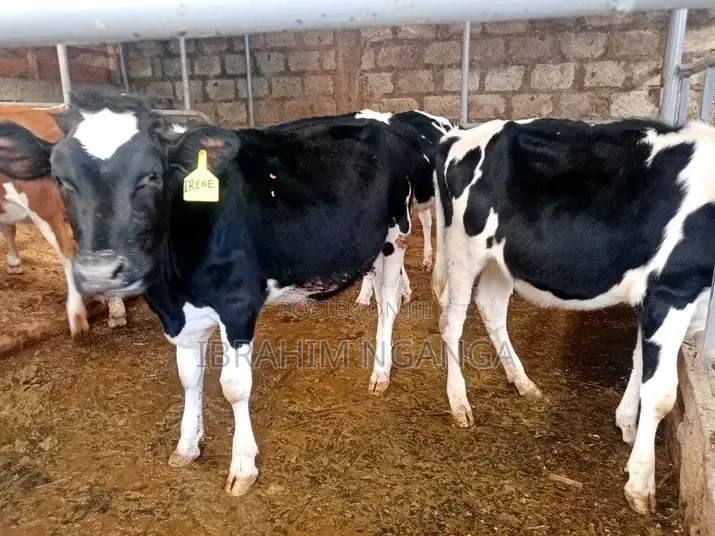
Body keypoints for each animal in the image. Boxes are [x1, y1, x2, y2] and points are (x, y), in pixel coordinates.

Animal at [430, 117, 715, 514]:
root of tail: (457, 136)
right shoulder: (671, 290)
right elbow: (660, 391)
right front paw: (641, 484)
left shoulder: (662, 299)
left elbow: (639, 360)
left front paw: (627, 425)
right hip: (464, 250)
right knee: (452, 319)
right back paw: (459, 402)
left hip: (502, 259)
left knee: (491, 307)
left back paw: (523, 383)